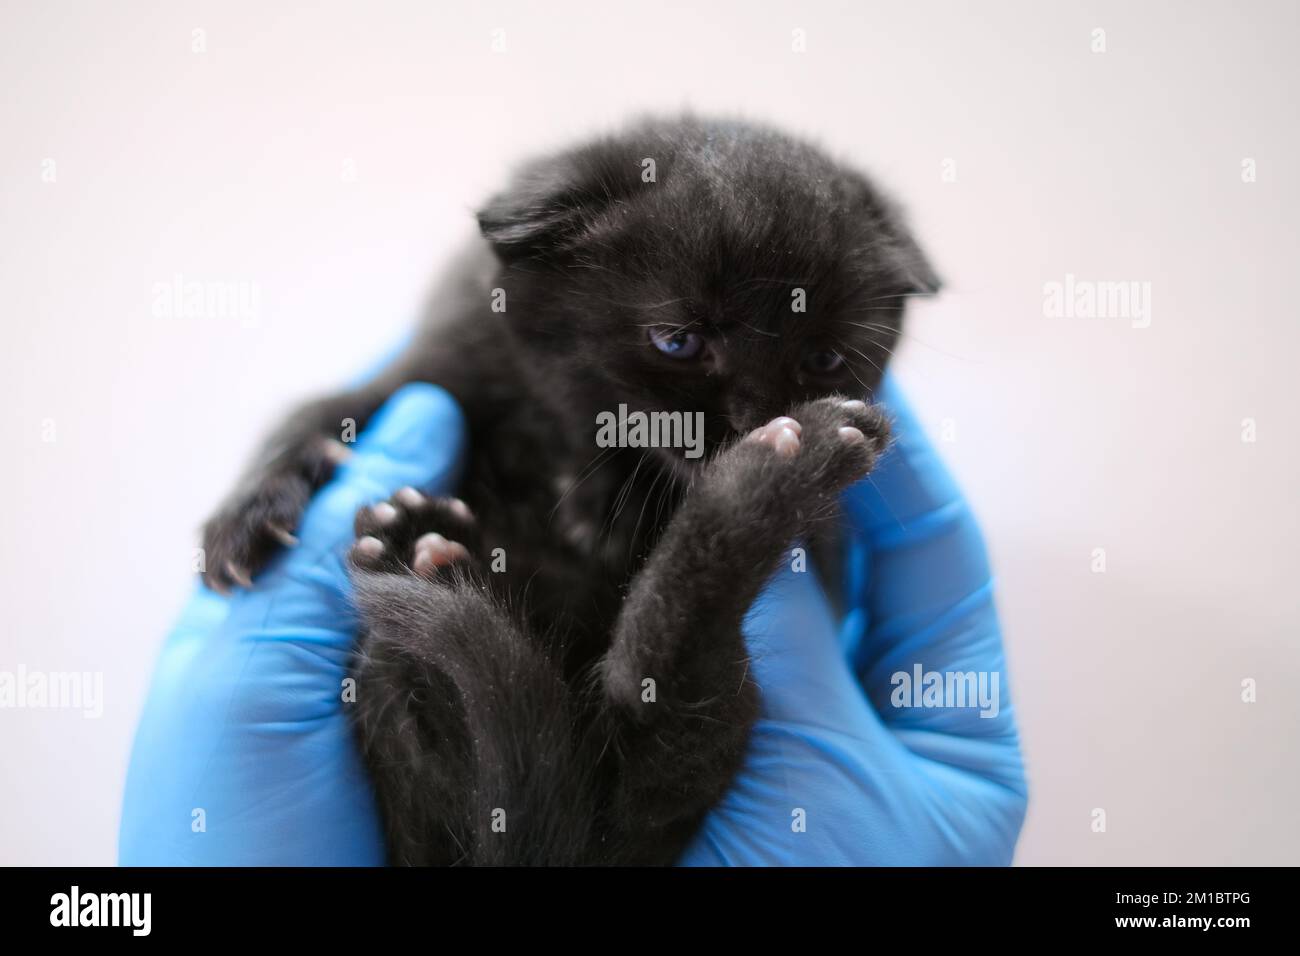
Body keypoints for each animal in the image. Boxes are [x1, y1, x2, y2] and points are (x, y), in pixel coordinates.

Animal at [200, 115, 935, 863]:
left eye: (824, 358)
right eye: (677, 341)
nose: (753, 417)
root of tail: (583, 846)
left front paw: (619, 500)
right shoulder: (428, 375)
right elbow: (313, 415)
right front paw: (243, 522)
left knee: (653, 694)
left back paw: (788, 460)